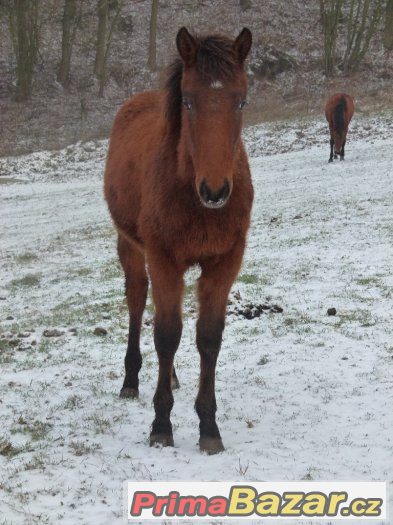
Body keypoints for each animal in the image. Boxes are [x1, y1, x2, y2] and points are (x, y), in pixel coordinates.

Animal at [102, 27, 253, 454]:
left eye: (241, 99)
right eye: (188, 100)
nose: (215, 190)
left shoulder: (224, 262)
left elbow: (208, 337)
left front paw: (209, 427)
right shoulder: (164, 258)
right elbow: (167, 335)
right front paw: (161, 424)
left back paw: (169, 377)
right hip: (132, 248)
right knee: (138, 302)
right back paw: (132, 380)